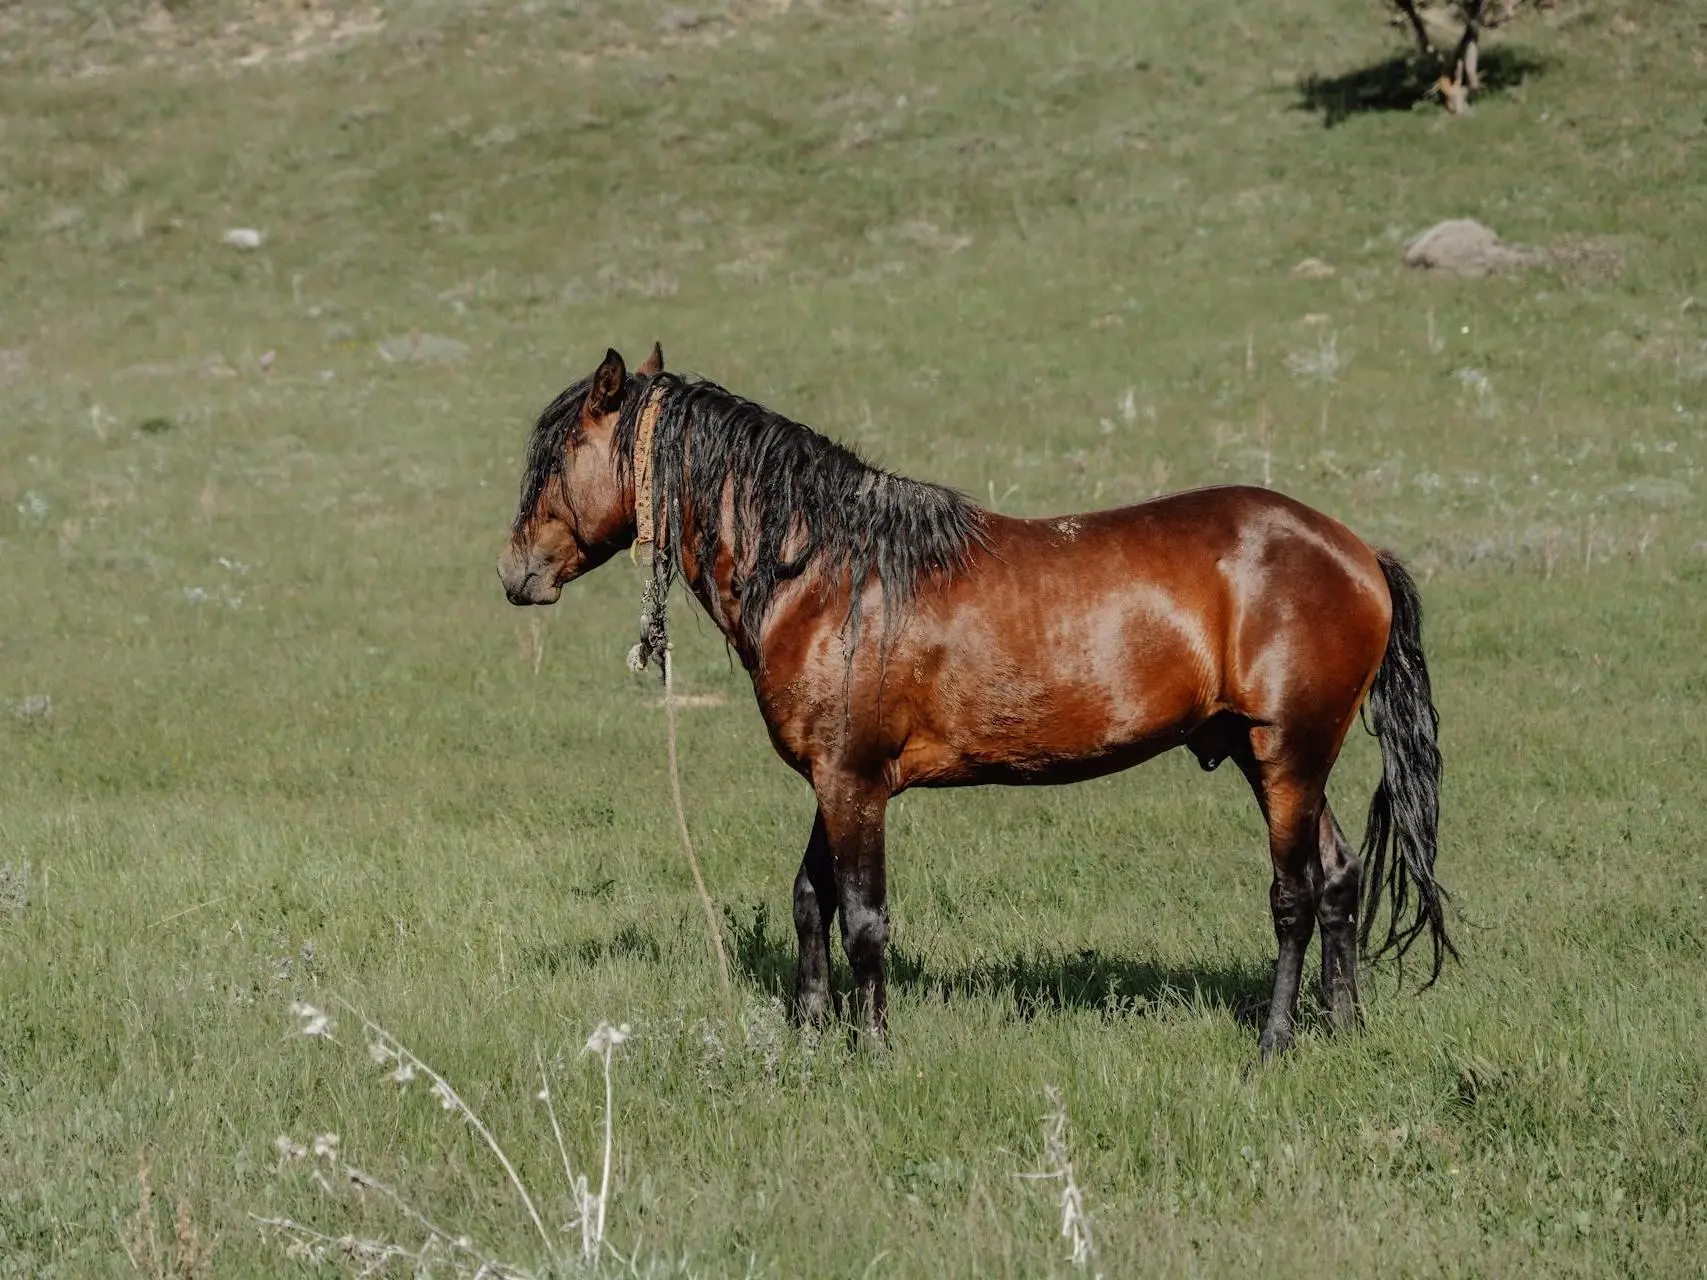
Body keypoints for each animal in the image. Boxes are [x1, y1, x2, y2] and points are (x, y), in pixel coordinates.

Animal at [498, 346, 1454, 1058]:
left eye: (557, 458)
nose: (514, 573)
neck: (826, 571)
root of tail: (1356, 552)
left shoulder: (853, 783)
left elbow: (863, 920)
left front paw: (873, 1049)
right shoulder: (833, 778)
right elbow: (811, 900)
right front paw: (808, 1038)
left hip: (1286, 754)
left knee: (1294, 895)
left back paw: (1278, 1041)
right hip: (1282, 761)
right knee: (1338, 879)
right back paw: (1343, 1028)